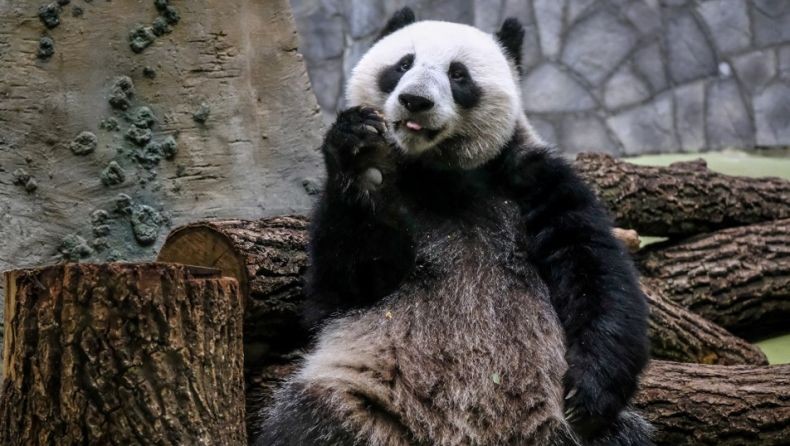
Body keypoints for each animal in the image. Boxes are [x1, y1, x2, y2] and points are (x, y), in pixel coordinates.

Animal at [255, 8, 652, 446]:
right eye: (403, 64)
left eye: (458, 75)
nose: (415, 101)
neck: (437, 172)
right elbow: (349, 283)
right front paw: (359, 155)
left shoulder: (531, 179)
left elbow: (593, 268)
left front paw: (589, 393)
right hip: (362, 398)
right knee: (309, 421)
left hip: (556, 427)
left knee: (620, 435)